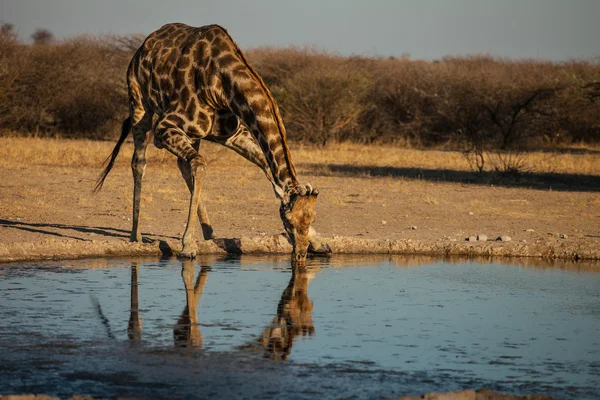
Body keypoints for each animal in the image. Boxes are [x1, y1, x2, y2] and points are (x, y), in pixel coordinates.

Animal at [94, 24, 330, 262]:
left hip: (194, 133)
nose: (300, 255)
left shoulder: (232, 134)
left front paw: (320, 242)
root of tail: (142, 47)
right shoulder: (164, 127)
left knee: (183, 164)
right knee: (139, 162)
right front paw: (188, 246)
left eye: (312, 218)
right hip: (140, 104)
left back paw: (210, 234)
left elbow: (265, 165)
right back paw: (136, 235)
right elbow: (200, 164)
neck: (223, 86)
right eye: (288, 220)